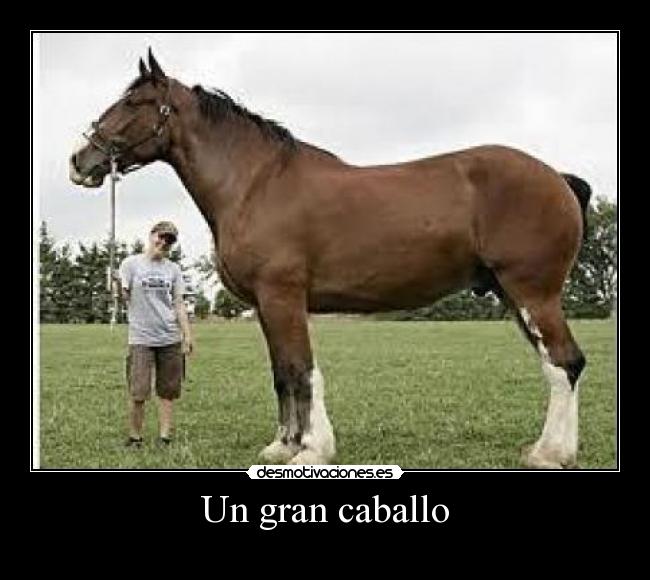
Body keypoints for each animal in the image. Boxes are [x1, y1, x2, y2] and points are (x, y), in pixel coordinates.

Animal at [70, 49, 591, 468]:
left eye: (133, 103)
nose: (80, 160)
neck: (254, 184)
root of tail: (557, 177)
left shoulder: (283, 296)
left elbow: (302, 370)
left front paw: (312, 448)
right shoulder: (265, 305)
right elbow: (281, 373)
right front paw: (283, 445)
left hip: (532, 293)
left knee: (563, 363)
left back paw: (548, 454)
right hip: (513, 294)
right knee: (561, 364)